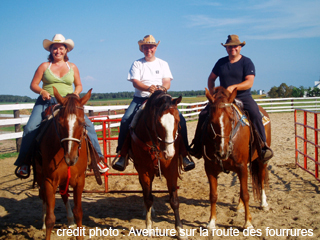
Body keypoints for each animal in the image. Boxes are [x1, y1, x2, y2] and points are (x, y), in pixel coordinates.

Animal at [37, 86, 93, 240]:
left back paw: (70, 221)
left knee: (64, 195)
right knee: (43, 195)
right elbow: (50, 219)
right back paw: (42, 222)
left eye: (82, 123)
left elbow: (78, 212)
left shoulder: (79, 180)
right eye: (60, 123)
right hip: (40, 176)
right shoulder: (49, 181)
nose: (71, 158)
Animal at [129, 90, 186, 240]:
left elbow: (174, 200)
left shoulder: (171, 169)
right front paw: (148, 227)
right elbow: (148, 198)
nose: (169, 152)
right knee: (145, 192)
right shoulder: (144, 171)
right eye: (159, 123)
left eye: (178, 121)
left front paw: (180, 230)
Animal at [202, 86, 270, 231]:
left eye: (231, 119)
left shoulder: (242, 166)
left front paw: (248, 223)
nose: (222, 152)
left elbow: (246, 194)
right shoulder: (210, 169)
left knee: (261, 178)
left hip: (261, 160)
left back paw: (264, 203)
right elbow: (213, 195)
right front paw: (211, 222)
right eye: (211, 121)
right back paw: (239, 206)